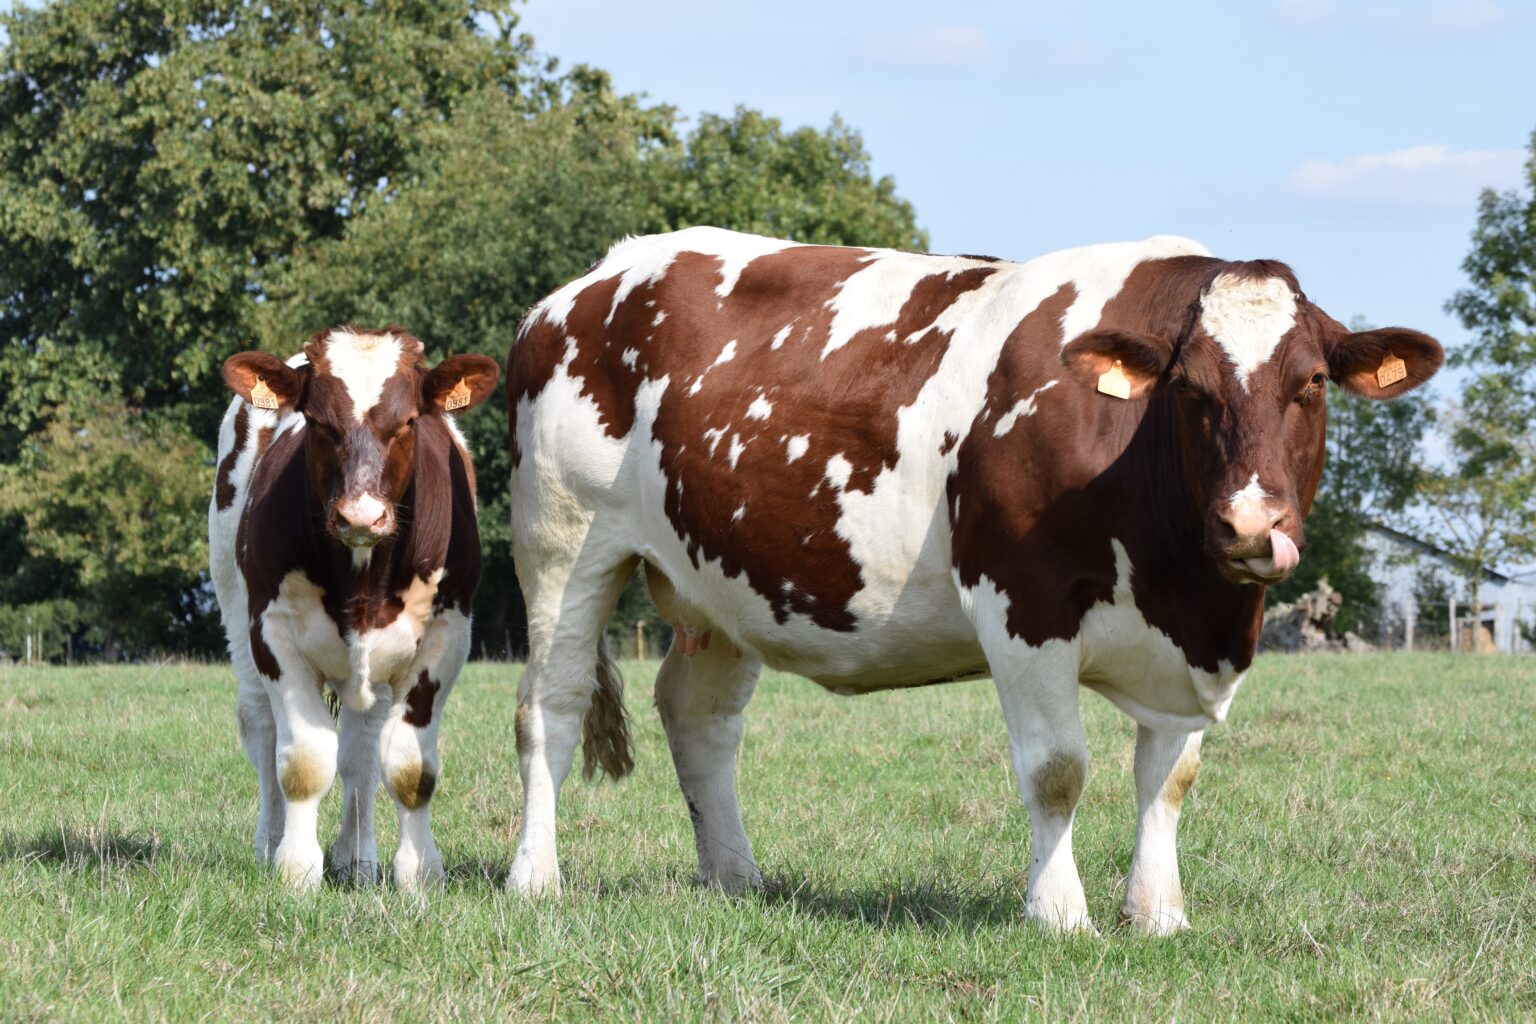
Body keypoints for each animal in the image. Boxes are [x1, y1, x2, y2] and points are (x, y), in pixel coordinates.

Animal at [208, 326, 498, 890]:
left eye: (408, 421)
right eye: (320, 423)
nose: (361, 516)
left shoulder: (446, 637)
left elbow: (407, 766)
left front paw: (419, 873)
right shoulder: (273, 633)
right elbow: (303, 761)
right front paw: (296, 869)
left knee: (361, 752)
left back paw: (357, 860)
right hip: (235, 610)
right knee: (262, 729)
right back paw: (270, 842)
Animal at [504, 227, 1442, 933]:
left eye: (1311, 382)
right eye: (1190, 387)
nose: (1251, 526)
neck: (1188, 591)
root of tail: (594, 278)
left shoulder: (1188, 646)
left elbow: (1168, 778)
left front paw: (1158, 913)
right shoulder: (1022, 602)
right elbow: (1058, 769)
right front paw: (1060, 914)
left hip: (726, 580)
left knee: (699, 717)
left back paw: (736, 877)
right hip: (564, 542)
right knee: (549, 707)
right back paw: (534, 877)